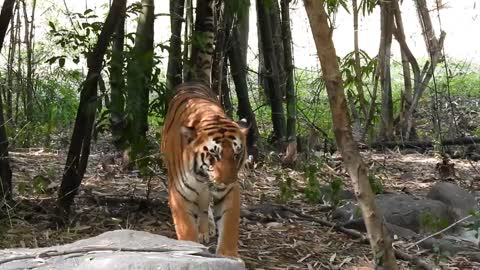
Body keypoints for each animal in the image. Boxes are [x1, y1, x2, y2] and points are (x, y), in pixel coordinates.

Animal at [161, 81, 249, 258]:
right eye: (214, 154)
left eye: (236, 154)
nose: (227, 181)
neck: (202, 176)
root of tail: (192, 82)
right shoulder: (179, 195)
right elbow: (187, 229)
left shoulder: (229, 192)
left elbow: (229, 228)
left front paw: (228, 256)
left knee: (204, 207)